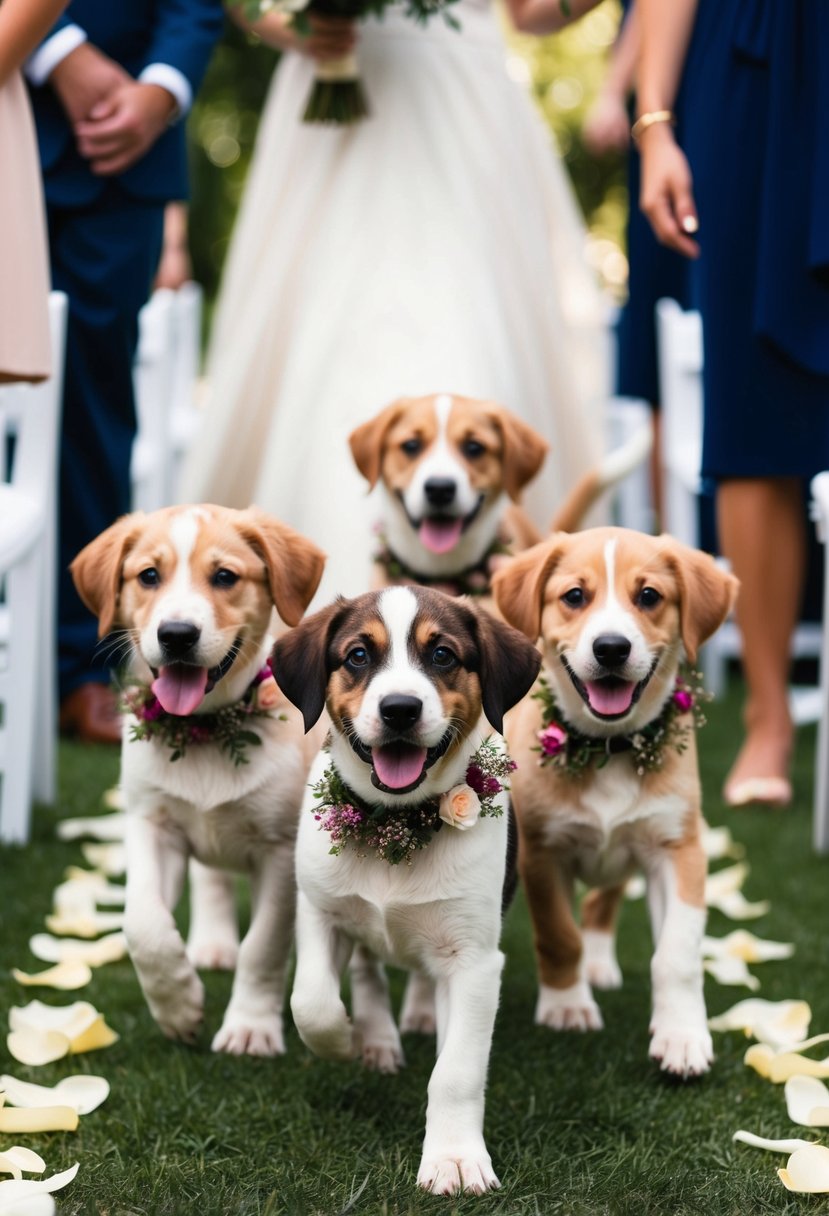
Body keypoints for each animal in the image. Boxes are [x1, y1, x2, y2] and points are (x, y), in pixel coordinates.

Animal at [71, 503, 323, 1055]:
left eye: (225, 577)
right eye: (148, 576)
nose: (177, 635)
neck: (205, 728)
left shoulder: (280, 849)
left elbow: (264, 947)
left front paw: (250, 1027)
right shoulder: (152, 824)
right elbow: (143, 925)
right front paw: (178, 1006)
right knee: (211, 879)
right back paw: (211, 944)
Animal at [271, 583, 542, 1191]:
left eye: (442, 655)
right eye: (357, 656)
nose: (400, 709)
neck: (395, 822)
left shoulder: (474, 959)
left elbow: (456, 1071)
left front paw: (455, 1158)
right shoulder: (319, 910)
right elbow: (312, 1001)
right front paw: (344, 1041)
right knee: (368, 970)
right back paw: (377, 1037)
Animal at [488, 527, 734, 1079]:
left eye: (649, 596)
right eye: (575, 596)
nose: (612, 648)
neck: (607, 747)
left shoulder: (680, 848)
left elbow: (677, 954)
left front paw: (682, 1036)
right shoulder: (542, 852)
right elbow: (560, 935)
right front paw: (566, 1006)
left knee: (603, 900)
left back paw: (600, 965)